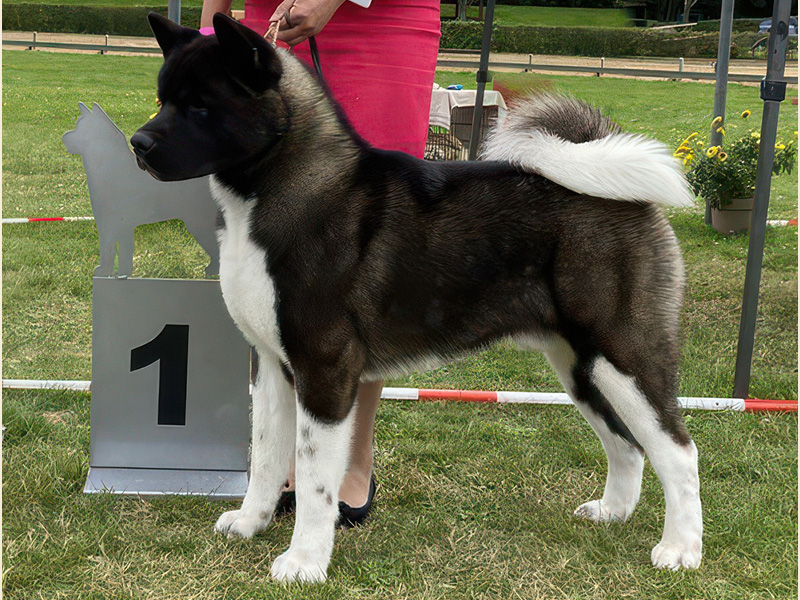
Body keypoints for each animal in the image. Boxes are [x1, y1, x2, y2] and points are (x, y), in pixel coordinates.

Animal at [63, 102, 219, 277]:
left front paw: (104, 271)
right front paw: (122, 274)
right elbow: (124, 253)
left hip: (198, 222)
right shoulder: (124, 226)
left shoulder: (107, 224)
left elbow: (107, 250)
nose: (64, 137)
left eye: (79, 127)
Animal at [131, 12, 703, 582]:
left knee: (678, 451)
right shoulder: (271, 365)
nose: (138, 143)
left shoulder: (324, 367)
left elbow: (316, 479)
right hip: (580, 365)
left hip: (624, 354)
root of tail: (623, 195)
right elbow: (267, 453)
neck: (289, 185)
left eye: (201, 105)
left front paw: (304, 561)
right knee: (627, 445)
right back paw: (612, 512)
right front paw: (252, 521)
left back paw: (680, 550)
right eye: (163, 98)